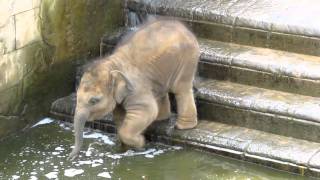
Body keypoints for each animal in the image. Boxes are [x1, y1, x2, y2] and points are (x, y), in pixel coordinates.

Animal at [69, 19, 200, 160]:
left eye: (94, 100)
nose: (70, 158)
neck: (112, 64)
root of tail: (185, 27)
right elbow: (120, 117)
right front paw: (126, 147)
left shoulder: (135, 87)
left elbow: (147, 110)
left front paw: (141, 143)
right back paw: (161, 119)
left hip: (187, 59)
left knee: (181, 89)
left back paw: (183, 127)